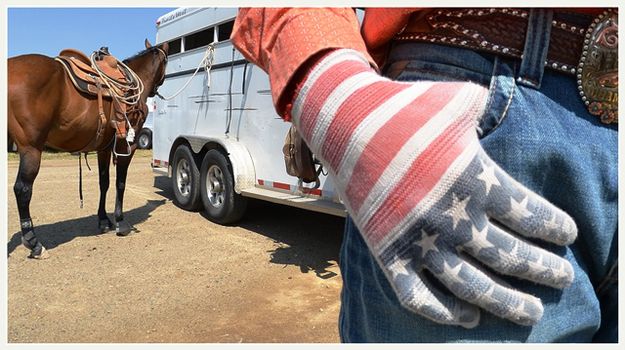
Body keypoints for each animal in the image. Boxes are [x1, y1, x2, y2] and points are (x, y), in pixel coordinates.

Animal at [8, 39, 169, 258]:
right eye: (166, 62)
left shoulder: (104, 148)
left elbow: (104, 182)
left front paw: (103, 219)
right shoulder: (127, 146)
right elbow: (120, 183)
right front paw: (120, 221)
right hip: (31, 149)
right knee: (22, 190)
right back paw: (34, 243)